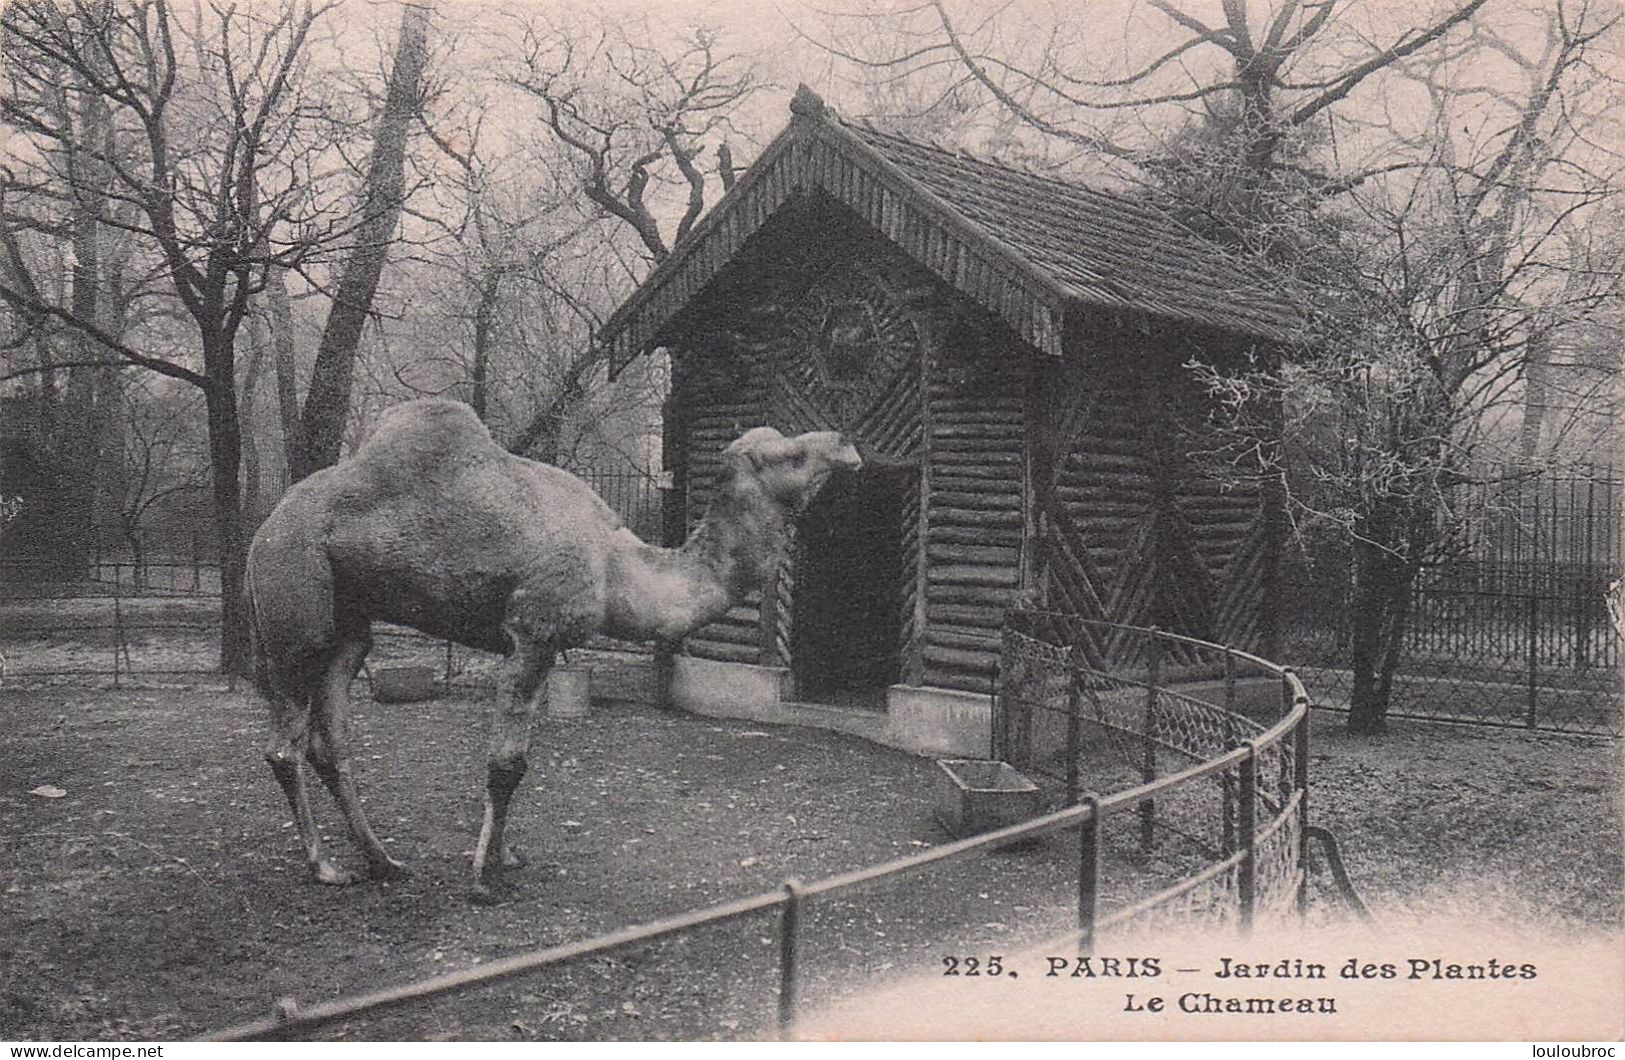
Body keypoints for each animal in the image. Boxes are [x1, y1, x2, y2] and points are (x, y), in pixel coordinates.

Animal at [247, 396, 864, 897]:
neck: (618, 567)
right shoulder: (536, 631)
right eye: (790, 455)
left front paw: (505, 856)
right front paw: (485, 879)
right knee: (285, 745)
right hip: (296, 605)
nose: (847, 443)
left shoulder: (529, 644)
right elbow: (507, 764)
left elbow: (516, 760)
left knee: (332, 741)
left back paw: (384, 863)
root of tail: (264, 526)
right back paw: (325, 868)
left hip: (349, 627)